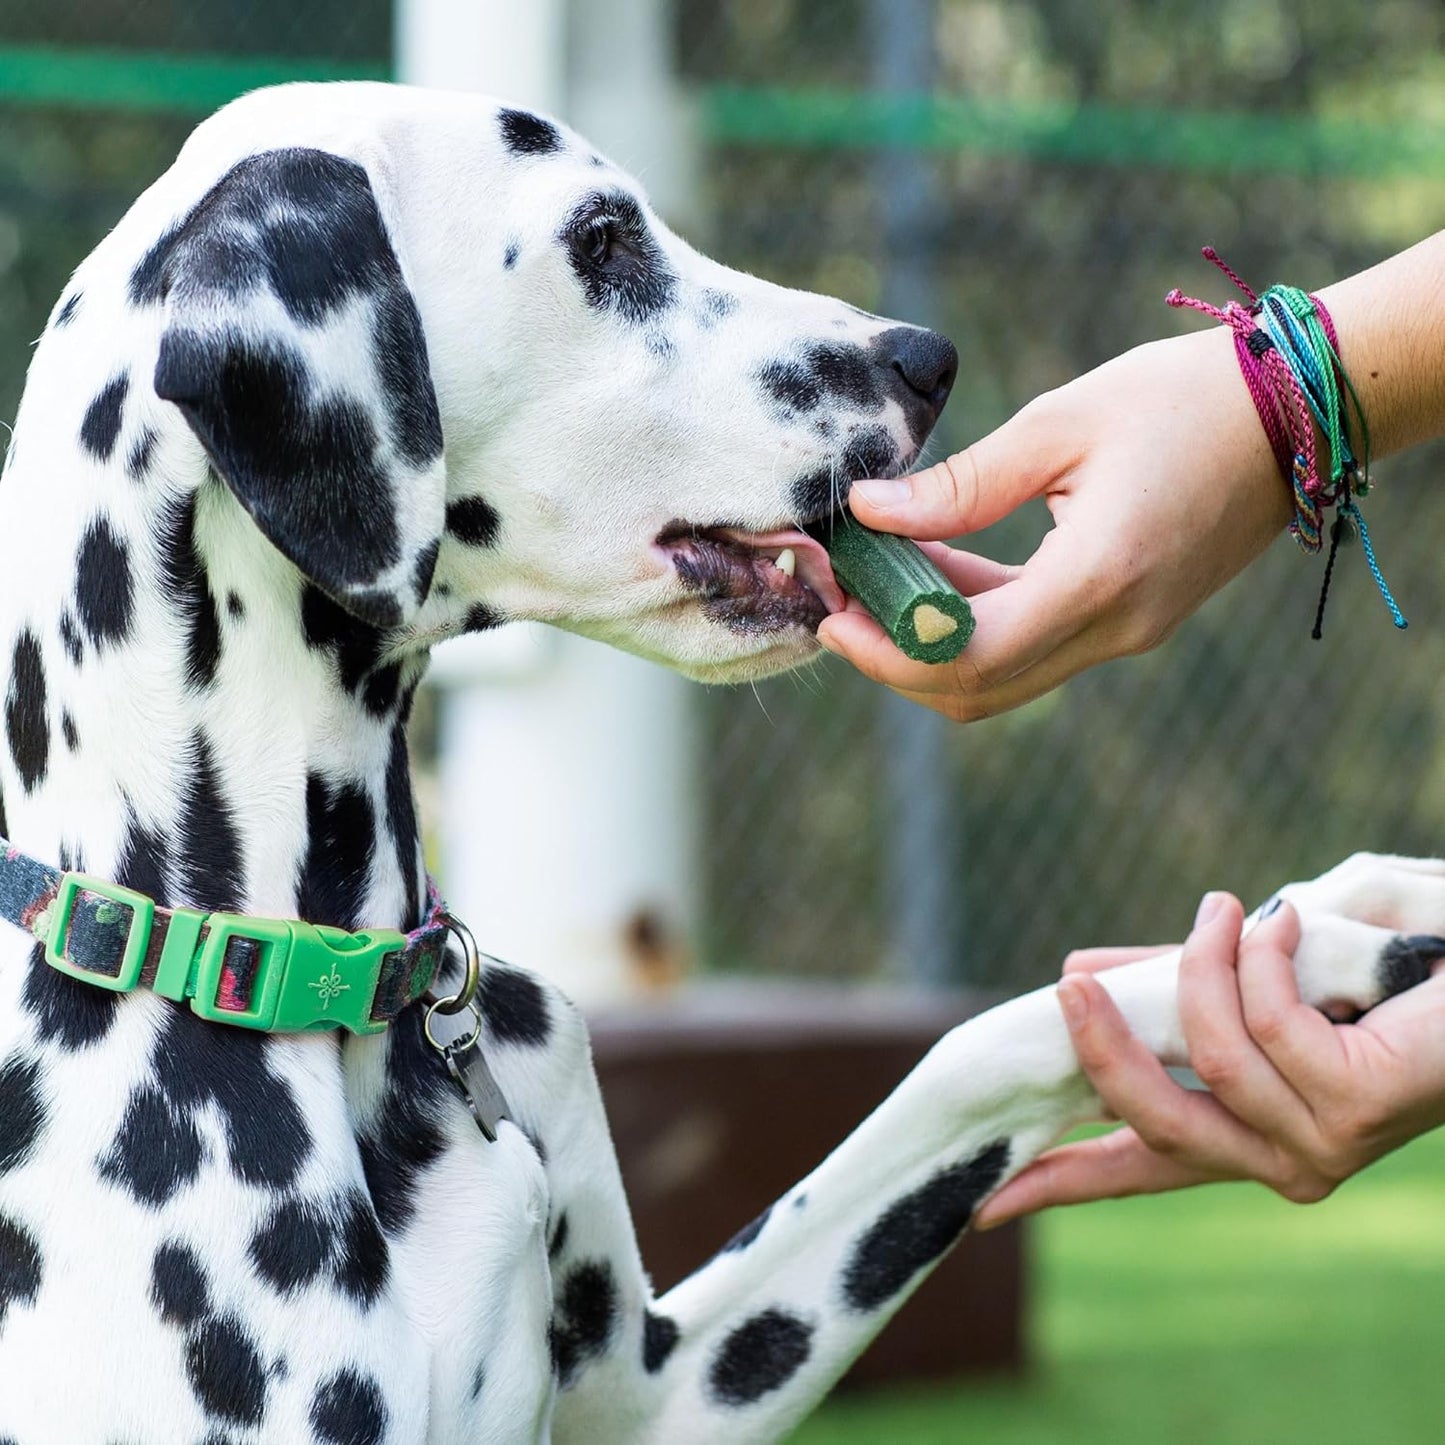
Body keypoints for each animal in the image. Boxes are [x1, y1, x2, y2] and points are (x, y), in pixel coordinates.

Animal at [2, 82, 1445, 1445]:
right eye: (601, 238)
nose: (926, 358)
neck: (309, 977)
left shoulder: (660, 1385)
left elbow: (978, 1047)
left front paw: (1317, 929)